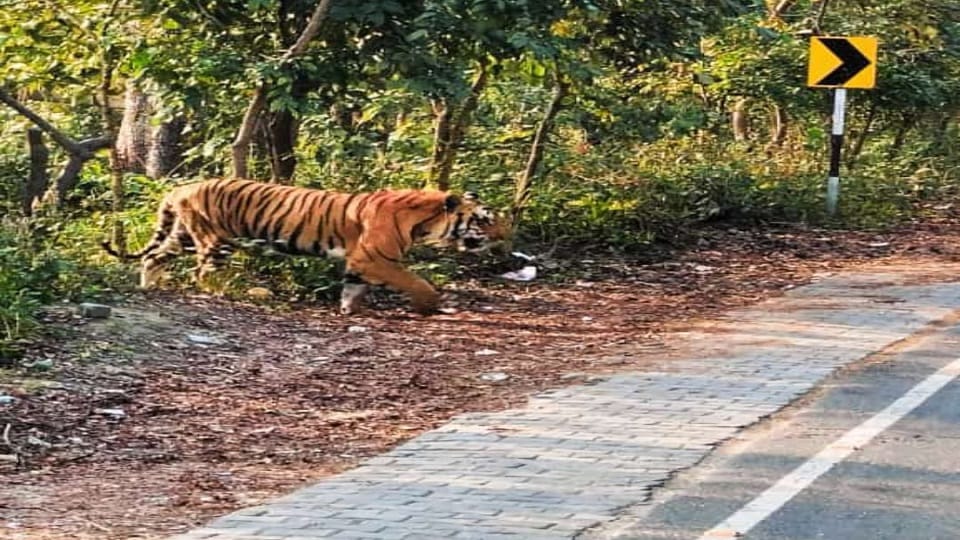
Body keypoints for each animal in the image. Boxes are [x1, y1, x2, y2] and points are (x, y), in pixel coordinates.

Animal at [101, 178, 505, 314]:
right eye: (485, 220)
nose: (504, 240)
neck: (425, 221)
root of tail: (181, 187)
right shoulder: (376, 258)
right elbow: (417, 282)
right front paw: (429, 306)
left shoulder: (359, 263)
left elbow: (352, 287)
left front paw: (349, 310)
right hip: (215, 240)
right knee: (205, 275)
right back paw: (249, 292)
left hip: (182, 234)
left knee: (154, 257)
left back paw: (149, 286)